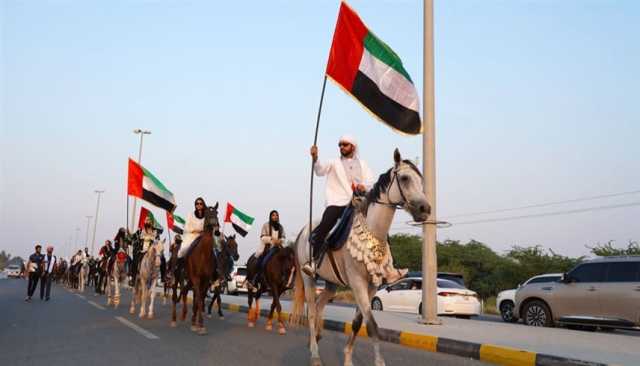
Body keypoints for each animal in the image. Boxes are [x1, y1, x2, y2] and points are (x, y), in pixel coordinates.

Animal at [170, 203, 220, 334]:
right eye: (207, 213)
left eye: (217, 213)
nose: (217, 230)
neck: (203, 253)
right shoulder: (196, 278)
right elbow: (198, 297)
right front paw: (200, 324)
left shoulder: (205, 280)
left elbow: (200, 299)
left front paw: (196, 323)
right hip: (177, 276)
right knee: (174, 294)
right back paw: (174, 319)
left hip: (189, 279)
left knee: (185, 291)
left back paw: (184, 315)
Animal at [290, 149, 430, 366]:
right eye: (405, 178)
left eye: (421, 181)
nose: (425, 209)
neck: (372, 231)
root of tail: (304, 231)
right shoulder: (357, 283)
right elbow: (372, 325)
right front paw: (379, 362)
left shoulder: (371, 286)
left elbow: (357, 323)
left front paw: (348, 358)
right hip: (308, 278)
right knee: (312, 311)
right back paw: (315, 354)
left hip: (331, 282)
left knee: (321, 304)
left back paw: (317, 337)